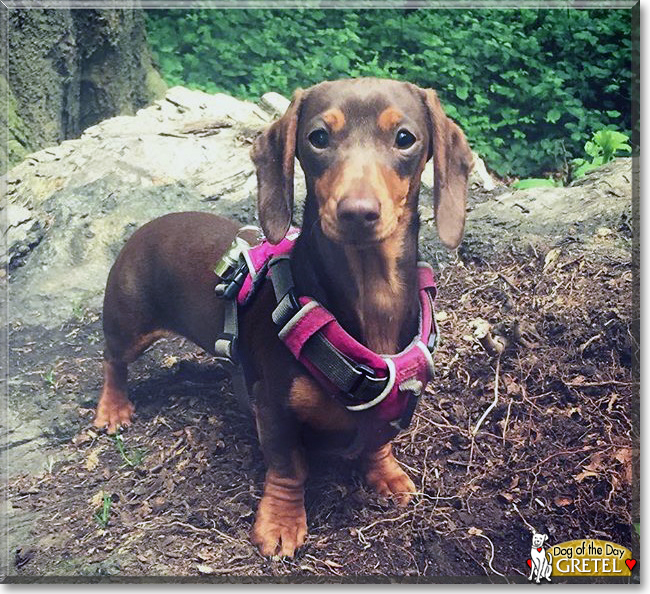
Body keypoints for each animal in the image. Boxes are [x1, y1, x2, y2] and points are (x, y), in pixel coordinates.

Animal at [93, 78, 470, 556]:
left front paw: (385, 475)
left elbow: (377, 443)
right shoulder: (274, 408)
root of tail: (147, 226)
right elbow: (288, 468)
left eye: (405, 138)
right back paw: (112, 408)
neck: (371, 294)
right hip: (130, 324)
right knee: (113, 360)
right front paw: (281, 523)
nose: (357, 212)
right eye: (318, 137)